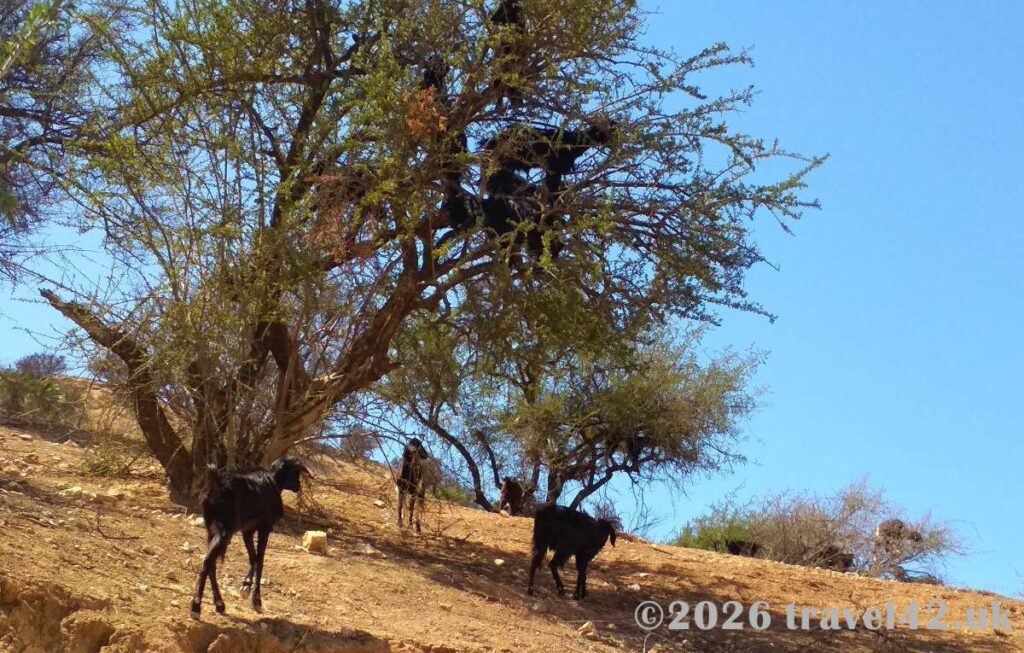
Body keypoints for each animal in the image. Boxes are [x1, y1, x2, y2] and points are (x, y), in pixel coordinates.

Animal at [189, 456, 307, 618]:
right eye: (295, 471)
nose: (298, 485)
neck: (273, 482)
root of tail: (217, 483)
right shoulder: (265, 527)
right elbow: (260, 559)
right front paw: (256, 600)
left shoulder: (247, 531)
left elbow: (253, 557)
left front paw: (246, 585)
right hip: (225, 530)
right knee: (208, 561)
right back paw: (196, 605)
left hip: (211, 529)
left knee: (211, 563)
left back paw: (219, 604)